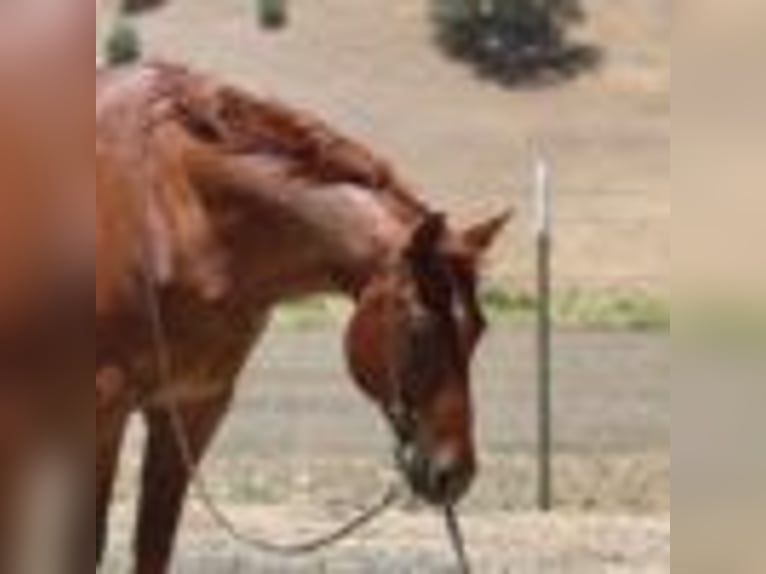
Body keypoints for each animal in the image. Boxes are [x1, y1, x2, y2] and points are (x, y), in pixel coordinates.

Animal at [97, 61, 509, 574]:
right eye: (417, 328)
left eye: (478, 330)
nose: (455, 474)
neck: (167, 213)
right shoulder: (101, 408)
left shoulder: (193, 407)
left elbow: (153, 543)